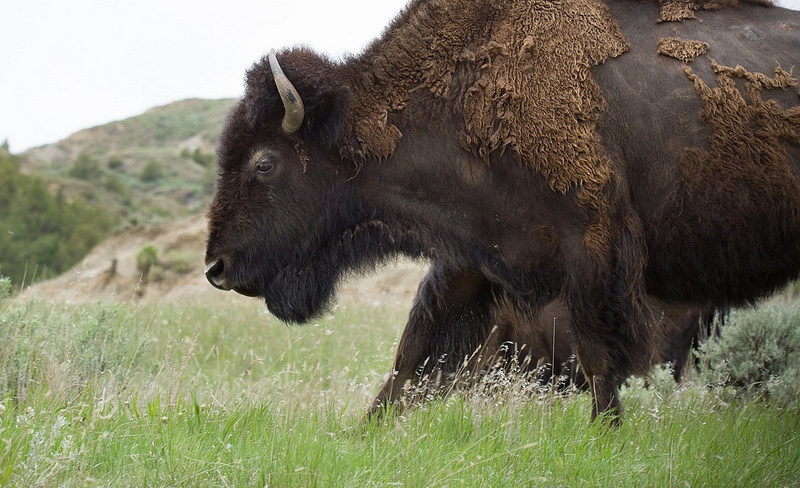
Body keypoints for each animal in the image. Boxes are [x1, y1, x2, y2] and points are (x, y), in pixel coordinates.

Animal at [206, 0, 800, 422]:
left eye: (264, 163)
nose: (216, 266)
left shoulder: (591, 248)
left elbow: (598, 357)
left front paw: (606, 433)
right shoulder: (475, 254)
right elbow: (411, 354)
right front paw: (361, 435)